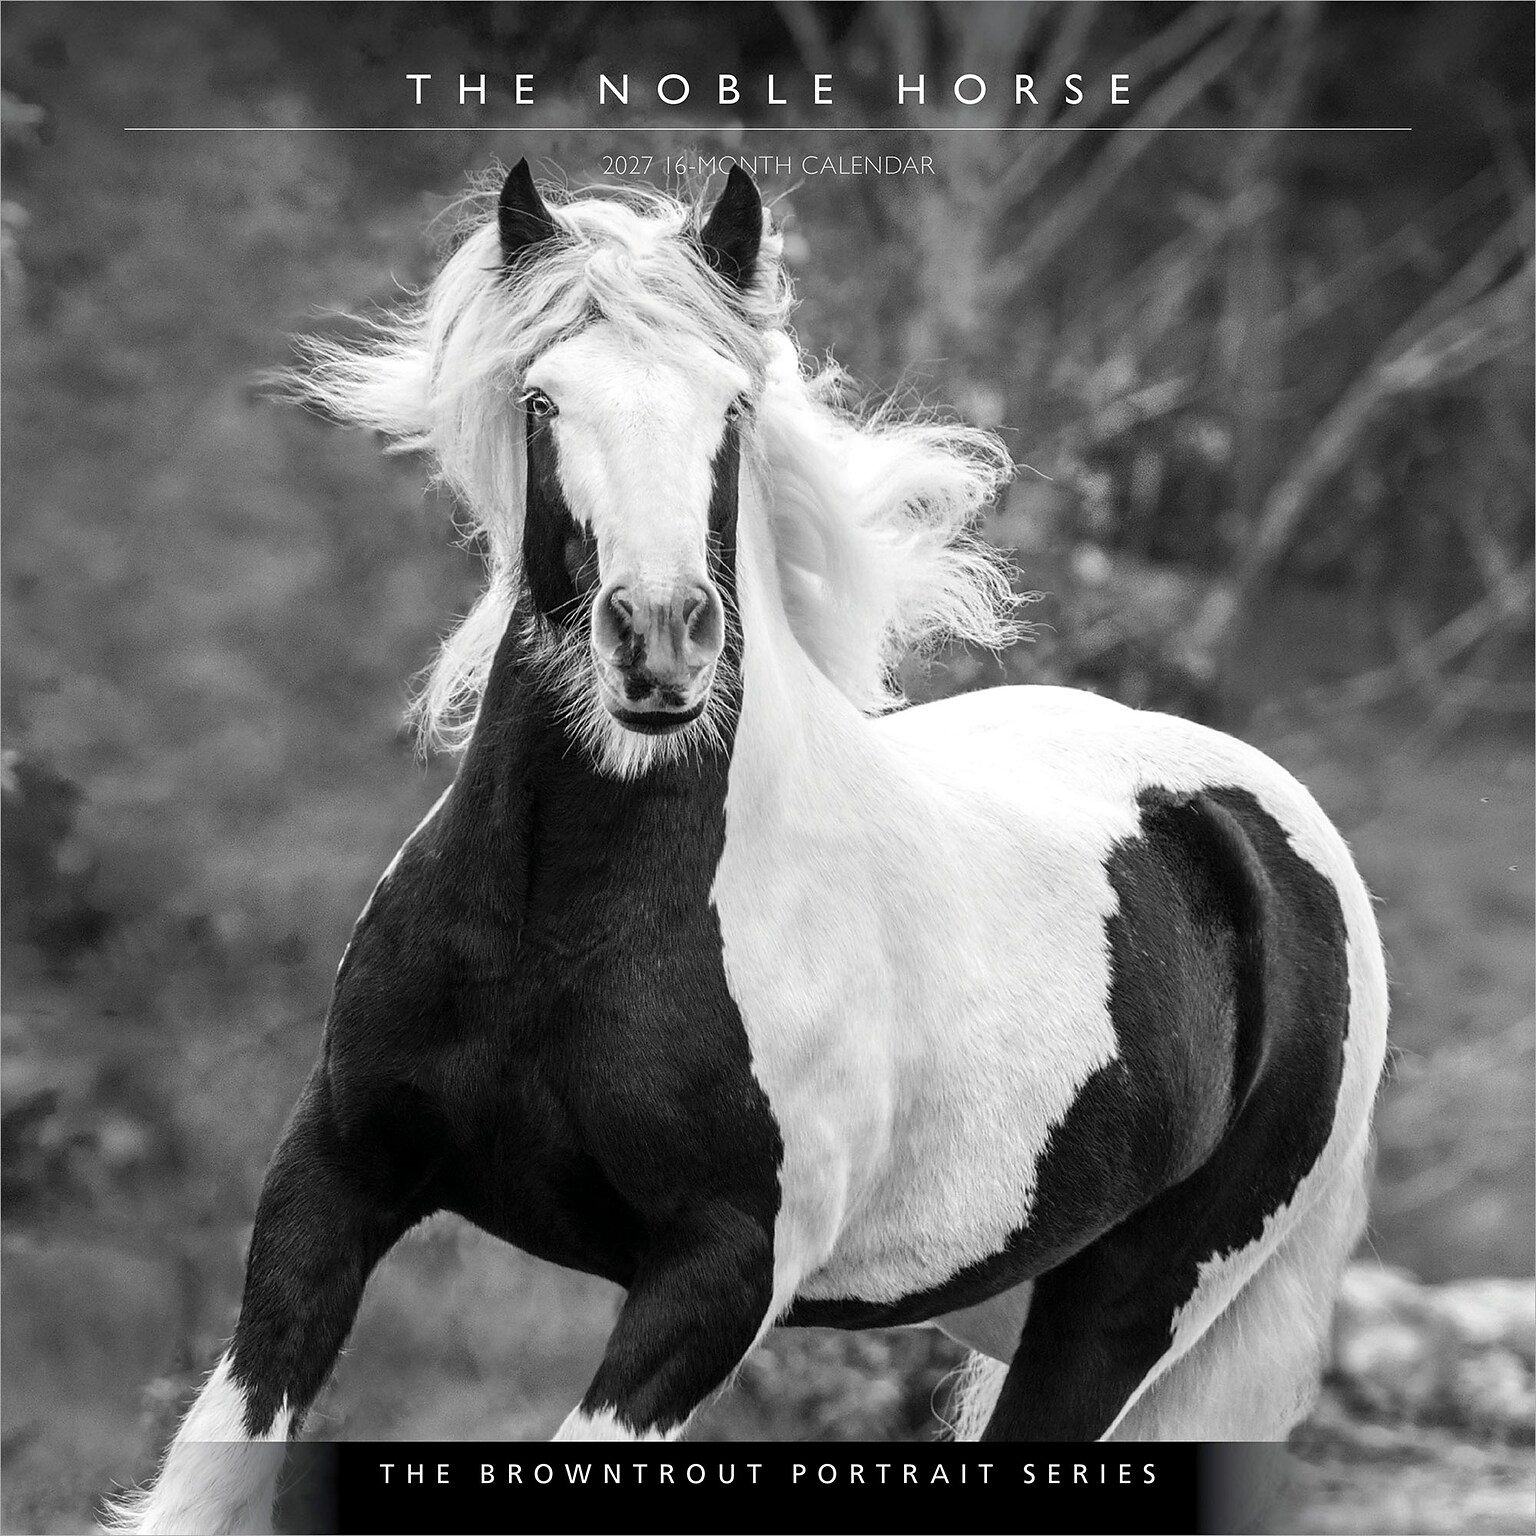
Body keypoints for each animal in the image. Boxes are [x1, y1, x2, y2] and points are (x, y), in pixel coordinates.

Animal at [105, 159, 1388, 1533]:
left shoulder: (716, 1281)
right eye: (543, 398)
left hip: (1133, 1305)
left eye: (730, 402)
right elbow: (204, 1475)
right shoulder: (333, 1176)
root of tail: (1271, 834)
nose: (660, 640)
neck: (565, 916)